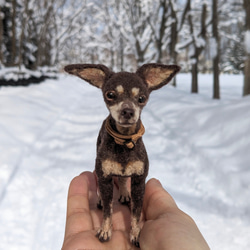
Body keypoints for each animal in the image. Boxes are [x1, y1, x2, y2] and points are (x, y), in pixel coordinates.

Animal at [64, 63, 180, 247]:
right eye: (110, 95)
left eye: (142, 98)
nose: (127, 111)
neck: (124, 142)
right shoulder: (105, 176)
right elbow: (107, 210)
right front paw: (105, 231)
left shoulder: (139, 180)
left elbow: (136, 213)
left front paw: (136, 234)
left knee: (124, 179)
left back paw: (125, 193)